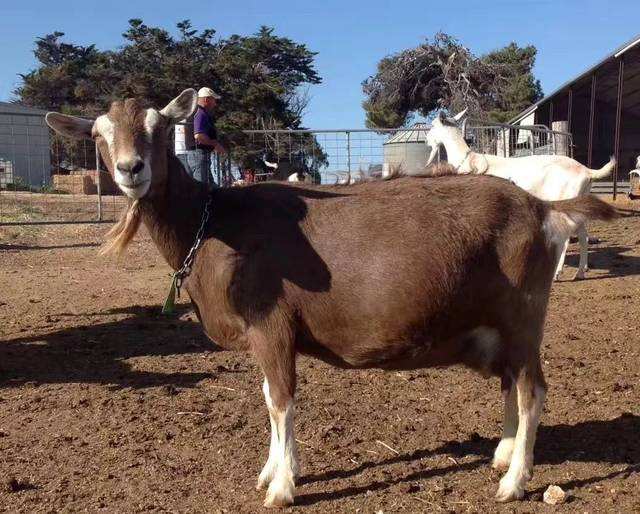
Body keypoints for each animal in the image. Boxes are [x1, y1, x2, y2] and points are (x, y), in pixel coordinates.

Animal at [424, 110, 616, 280]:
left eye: (432, 125)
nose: (425, 140)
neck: (468, 160)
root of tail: (586, 171)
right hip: (579, 203)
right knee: (583, 237)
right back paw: (581, 272)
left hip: (565, 200)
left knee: (567, 237)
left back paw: (557, 273)